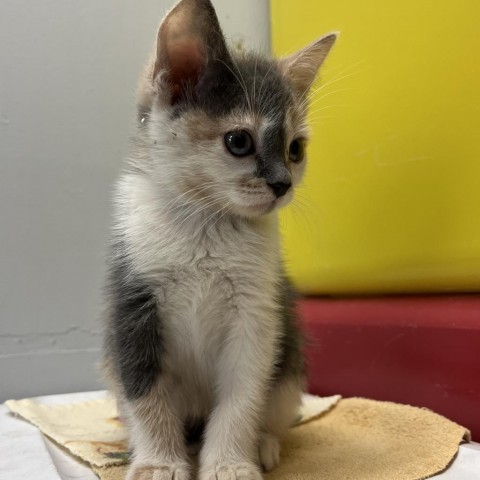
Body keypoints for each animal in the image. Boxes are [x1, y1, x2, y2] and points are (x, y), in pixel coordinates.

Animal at [103, 0, 336, 480]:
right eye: (239, 141)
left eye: (296, 149)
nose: (283, 184)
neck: (205, 228)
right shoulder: (132, 305)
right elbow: (144, 390)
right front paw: (158, 462)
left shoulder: (257, 315)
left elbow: (243, 394)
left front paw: (230, 462)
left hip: (290, 364)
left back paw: (264, 444)